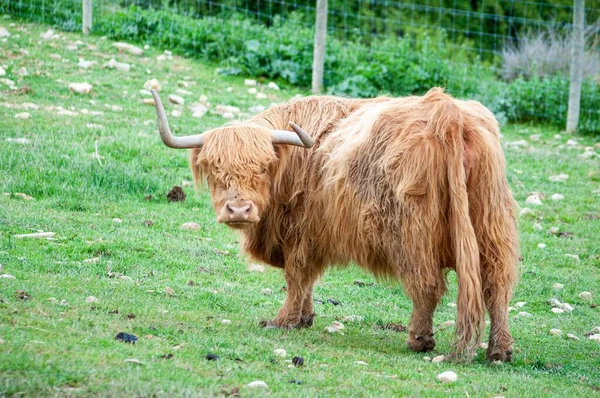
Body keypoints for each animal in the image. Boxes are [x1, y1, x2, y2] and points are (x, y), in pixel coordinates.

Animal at [151, 88, 520, 362]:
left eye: (263, 167)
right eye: (215, 167)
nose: (238, 209)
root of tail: (448, 113)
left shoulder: (301, 232)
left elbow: (297, 276)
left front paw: (283, 321)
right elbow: (307, 281)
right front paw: (304, 318)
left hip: (411, 233)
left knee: (426, 285)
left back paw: (419, 339)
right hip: (492, 224)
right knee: (496, 284)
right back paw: (499, 350)